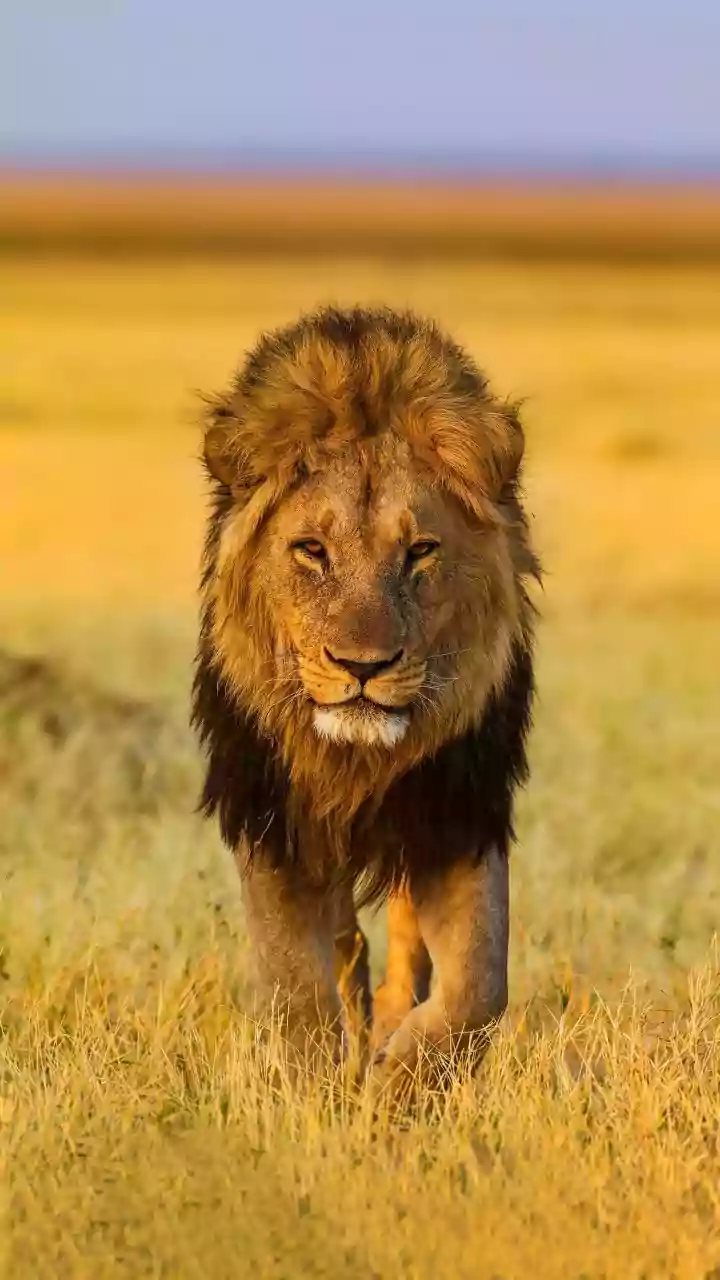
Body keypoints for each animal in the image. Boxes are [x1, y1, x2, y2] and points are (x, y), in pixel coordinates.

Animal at [191, 305, 539, 1090]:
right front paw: (315, 1093)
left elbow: (478, 989)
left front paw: (394, 1088)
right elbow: (296, 983)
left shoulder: (458, 813)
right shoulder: (273, 819)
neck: (358, 762)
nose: (362, 666)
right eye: (311, 551)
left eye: (420, 552)